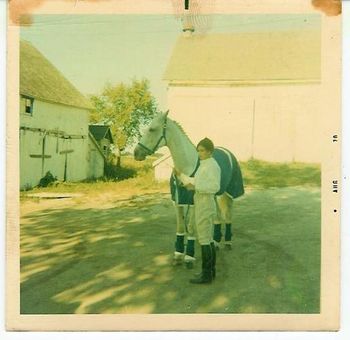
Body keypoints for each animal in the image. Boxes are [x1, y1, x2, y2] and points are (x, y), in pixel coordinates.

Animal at [134, 111, 243, 268]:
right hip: (214, 195)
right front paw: (178, 255)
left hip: (228, 193)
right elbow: (180, 228)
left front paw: (189, 257)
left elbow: (191, 228)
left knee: (227, 215)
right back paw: (215, 242)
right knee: (217, 217)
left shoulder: (193, 202)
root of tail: (228, 152)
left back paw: (227, 242)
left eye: (152, 129)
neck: (187, 166)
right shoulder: (177, 201)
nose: (136, 153)